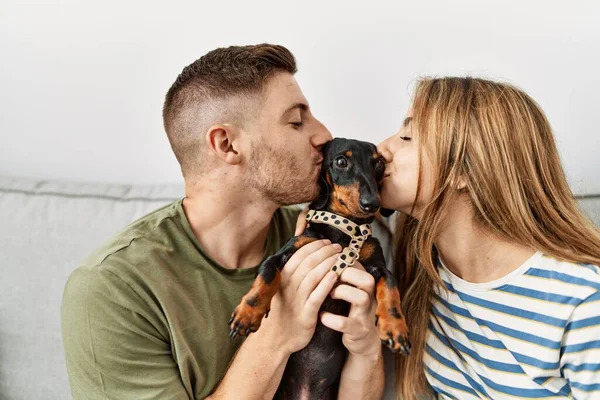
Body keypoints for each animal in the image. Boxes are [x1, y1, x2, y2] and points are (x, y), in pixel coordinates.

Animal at [227, 138, 410, 400]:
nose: (372, 204)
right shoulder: (283, 254)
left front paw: (395, 328)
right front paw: (247, 314)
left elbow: (391, 290)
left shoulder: (379, 267)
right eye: (341, 161)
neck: (343, 230)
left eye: (379, 164)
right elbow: (266, 275)